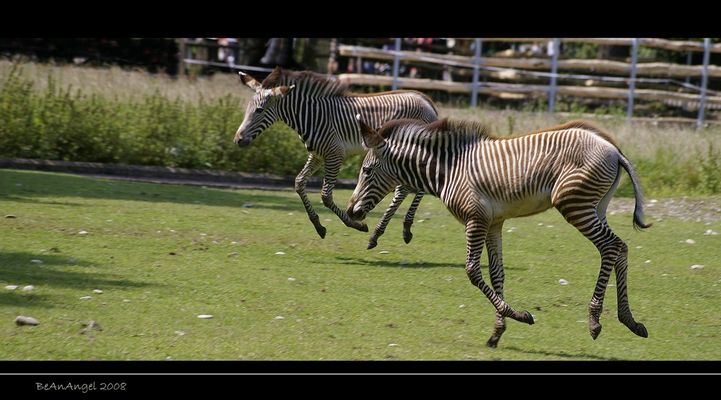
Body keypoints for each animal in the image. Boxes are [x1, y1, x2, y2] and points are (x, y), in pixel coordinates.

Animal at [234, 67, 438, 246]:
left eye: (259, 110)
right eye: (248, 108)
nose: (238, 140)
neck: (311, 116)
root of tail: (427, 102)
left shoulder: (334, 154)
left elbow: (326, 196)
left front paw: (355, 224)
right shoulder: (317, 155)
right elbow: (299, 182)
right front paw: (318, 225)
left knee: (409, 188)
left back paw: (399, 229)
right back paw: (401, 228)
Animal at [347, 116, 651, 347]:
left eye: (367, 170)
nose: (351, 211)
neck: (449, 170)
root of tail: (613, 149)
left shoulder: (475, 219)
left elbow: (472, 270)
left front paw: (520, 316)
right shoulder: (494, 222)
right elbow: (496, 273)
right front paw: (497, 332)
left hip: (574, 204)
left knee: (611, 247)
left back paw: (595, 320)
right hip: (596, 206)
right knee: (620, 247)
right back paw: (630, 320)